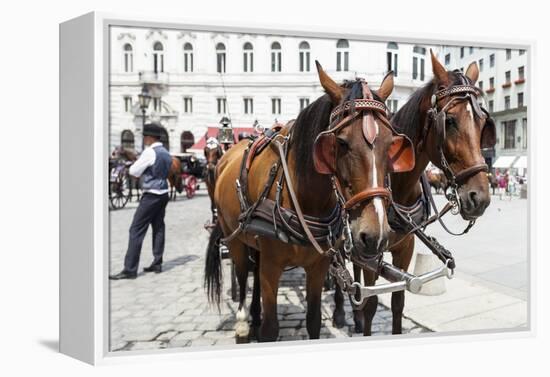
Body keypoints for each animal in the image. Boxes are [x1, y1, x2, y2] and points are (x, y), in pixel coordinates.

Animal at [206, 61, 414, 340]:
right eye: (341, 142)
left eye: (391, 144)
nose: (375, 235)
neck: (304, 198)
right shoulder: (272, 268)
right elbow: (271, 328)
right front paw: (261, 327)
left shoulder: (318, 266)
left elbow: (313, 321)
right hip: (234, 237)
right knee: (241, 272)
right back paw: (243, 322)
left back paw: (255, 315)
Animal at [350, 50, 500, 334]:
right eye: (449, 121)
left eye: (483, 124)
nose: (481, 198)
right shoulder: (369, 249)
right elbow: (372, 302)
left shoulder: (405, 246)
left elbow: (398, 301)